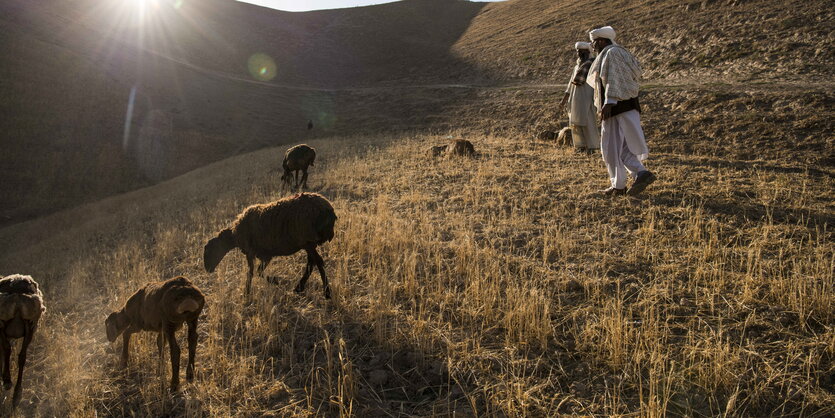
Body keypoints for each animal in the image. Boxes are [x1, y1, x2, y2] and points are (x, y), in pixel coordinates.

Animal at [0, 274, 45, 408]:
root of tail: (17, 294)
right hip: (31, 325)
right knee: (22, 357)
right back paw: (17, 394)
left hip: (3, 323)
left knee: (7, 349)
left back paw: (7, 381)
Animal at [204, 193, 338, 300]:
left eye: (209, 251)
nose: (207, 269)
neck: (235, 235)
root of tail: (328, 209)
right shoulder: (266, 255)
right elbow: (258, 272)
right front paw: (273, 282)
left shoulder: (252, 252)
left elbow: (252, 272)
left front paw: (248, 293)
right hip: (308, 243)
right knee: (311, 262)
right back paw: (299, 288)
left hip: (308, 240)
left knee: (318, 262)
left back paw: (327, 293)